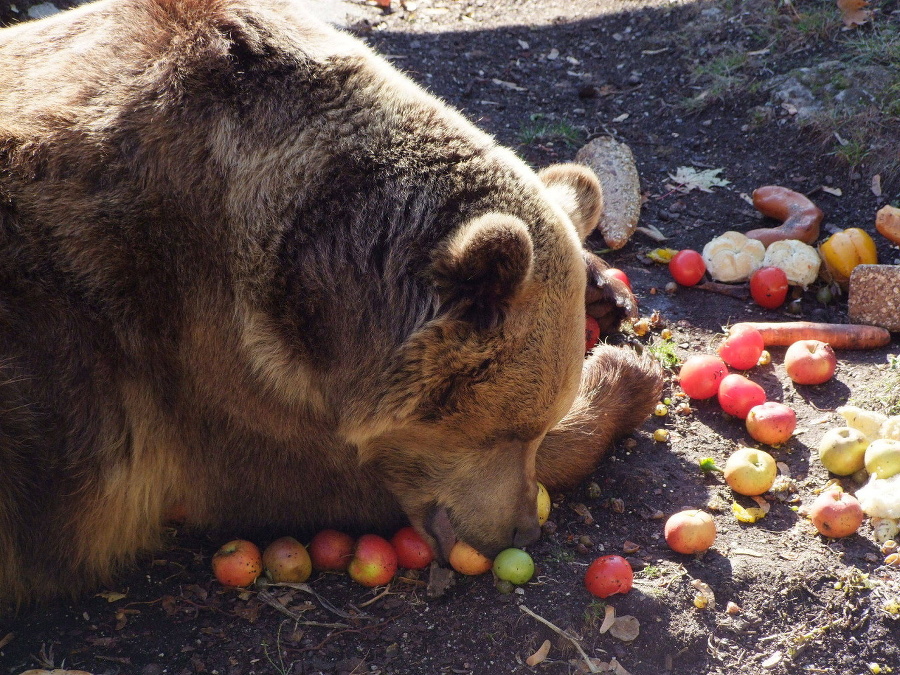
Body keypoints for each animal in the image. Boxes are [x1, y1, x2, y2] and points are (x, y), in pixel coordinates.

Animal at [0, 0, 660, 608]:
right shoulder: (183, 353)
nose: (522, 529)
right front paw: (628, 379)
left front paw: (605, 292)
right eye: (516, 429)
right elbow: (302, 479)